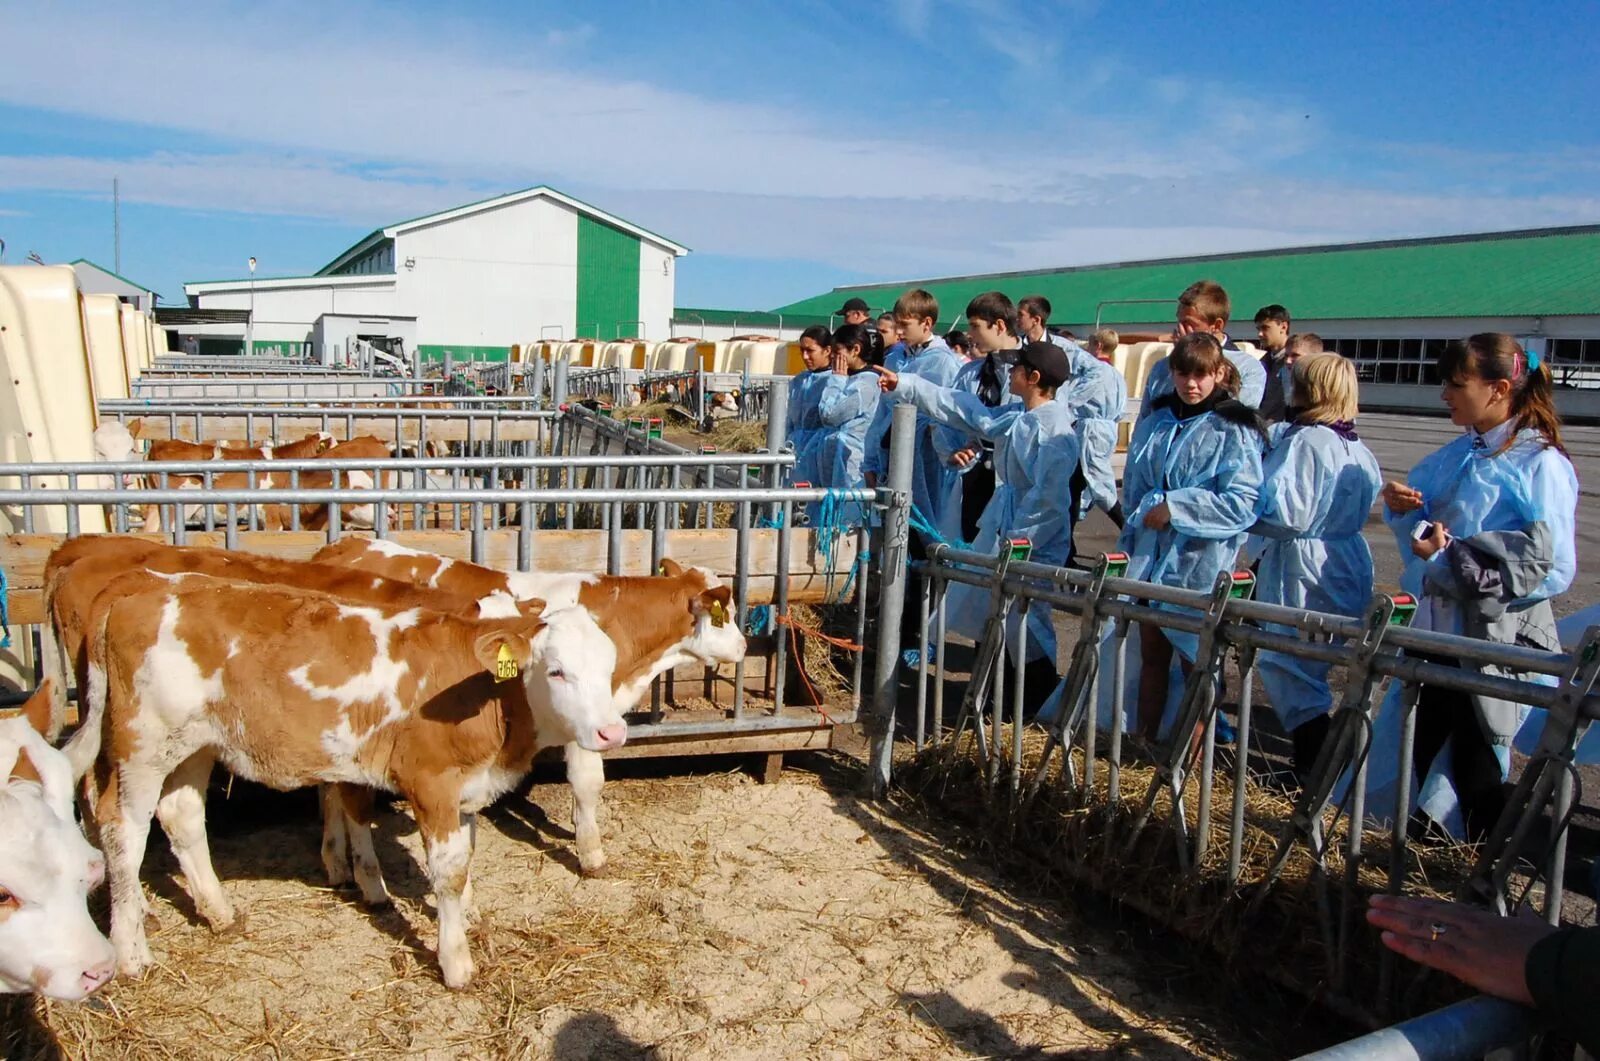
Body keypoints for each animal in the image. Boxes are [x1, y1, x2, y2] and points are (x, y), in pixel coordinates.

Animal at [75, 576, 620, 992]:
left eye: (609, 667)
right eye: (557, 671)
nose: (611, 732)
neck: (487, 691)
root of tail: (139, 590)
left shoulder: (466, 788)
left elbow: (465, 858)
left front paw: (469, 919)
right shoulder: (431, 783)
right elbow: (446, 872)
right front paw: (456, 962)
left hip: (195, 745)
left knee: (182, 816)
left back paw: (220, 913)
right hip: (143, 746)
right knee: (123, 832)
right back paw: (131, 954)